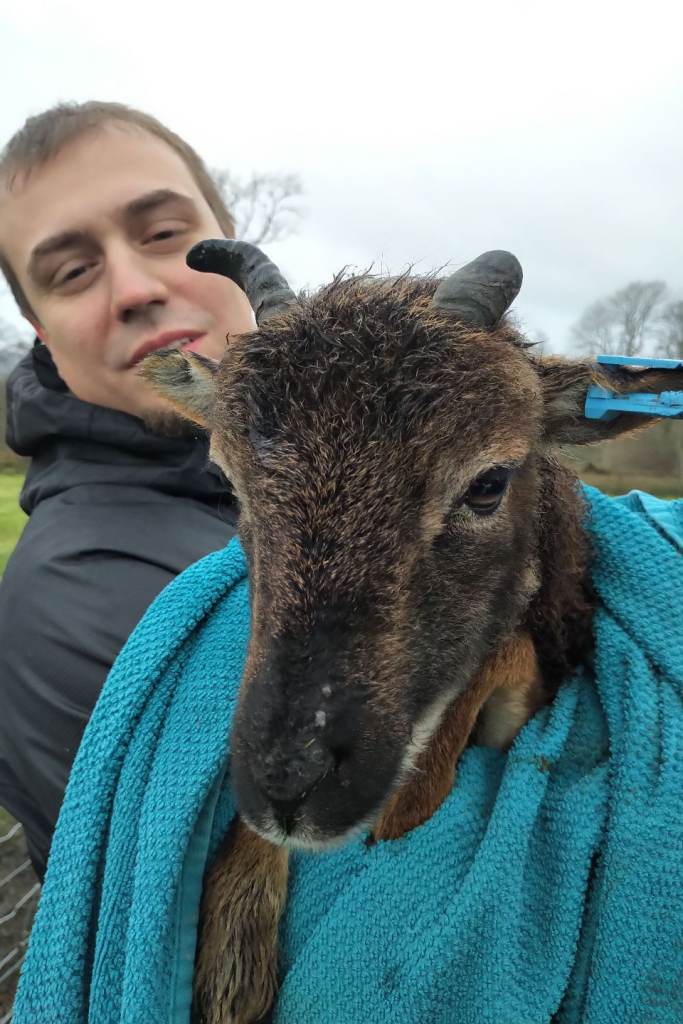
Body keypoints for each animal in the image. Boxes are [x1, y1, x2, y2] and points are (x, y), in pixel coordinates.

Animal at [140, 240, 682, 1024]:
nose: (292, 785)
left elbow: (498, 665)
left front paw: (404, 809)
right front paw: (230, 960)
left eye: (488, 482)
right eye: (227, 481)